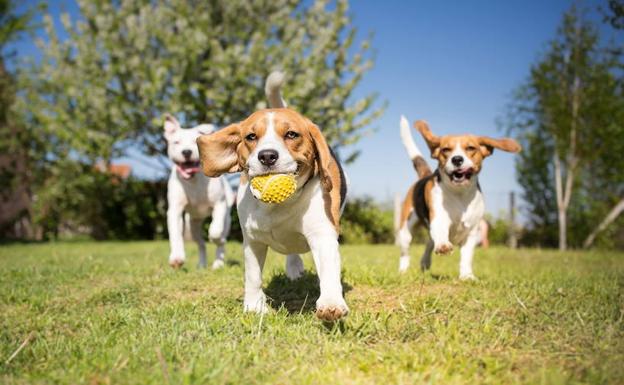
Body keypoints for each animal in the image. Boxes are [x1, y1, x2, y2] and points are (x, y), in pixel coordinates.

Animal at [163, 115, 234, 268]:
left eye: (194, 142)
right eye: (176, 142)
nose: (186, 152)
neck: (193, 180)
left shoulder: (219, 204)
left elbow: (215, 231)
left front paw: (216, 238)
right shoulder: (175, 210)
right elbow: (175, 234)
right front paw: (177, 258)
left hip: (227, 219)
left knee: (221, 239)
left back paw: (218, 263)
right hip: (192, 225)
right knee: (201, 244)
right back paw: (201, 264)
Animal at [197, 73, 348, 320]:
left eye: (291, 134)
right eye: (250, 136)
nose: (267, 156)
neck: (279, 206)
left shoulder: (322, 235)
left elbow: (328, 271)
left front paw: (331, 303)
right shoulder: (252, 241)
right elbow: (252, 276)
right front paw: (254, 306)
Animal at [394, 115, 520, 278]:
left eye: (471, 148)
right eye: (446, 150)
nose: (457, 159)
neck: (460, 194)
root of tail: (425, 175)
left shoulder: (472, 232)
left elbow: (467, 257)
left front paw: (467, 276)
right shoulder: (439, 219)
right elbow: (441, 234)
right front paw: (443, 246)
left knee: (429, 243)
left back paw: (425, 263)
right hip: (405, 230)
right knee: (405, 253)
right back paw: (403, 270)